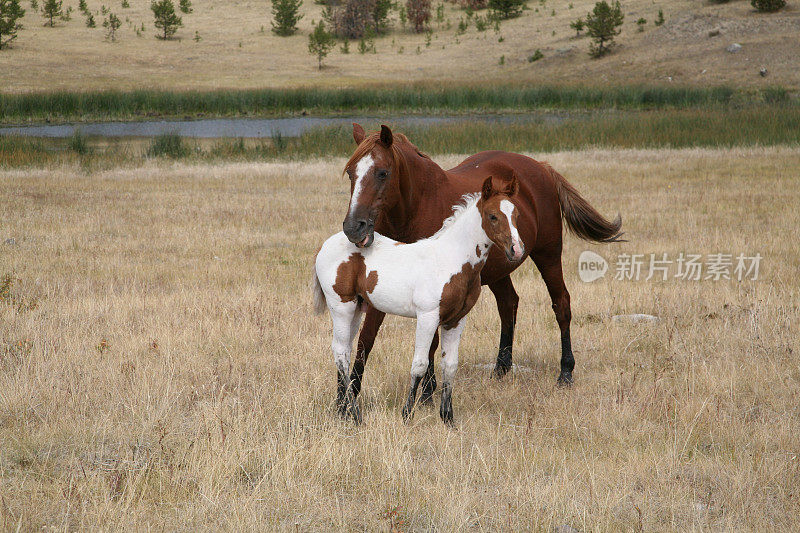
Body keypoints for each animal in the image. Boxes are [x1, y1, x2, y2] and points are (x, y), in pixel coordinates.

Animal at [312, 177, 524, 426]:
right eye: (492, 216)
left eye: (516, 214)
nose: (516, 250)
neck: (451, 259)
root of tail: (326, 245)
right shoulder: (427, 316)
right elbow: (420, 364)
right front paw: (407, 415)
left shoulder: (456, 320)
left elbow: (450, 366)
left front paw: (447, 418)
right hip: (341, 306)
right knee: (341, 353)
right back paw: (355, 415)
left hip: (356, 308)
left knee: (344, 348)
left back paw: (343, 411)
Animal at [340, 121, 620, 404]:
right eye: (351, 173)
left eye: (383, 173)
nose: (354, 228)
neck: (418, 207)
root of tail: (541, 167)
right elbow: (365, 341)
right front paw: (348, 399)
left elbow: (430, 344)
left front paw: (427, 393)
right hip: (499, 268)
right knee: (509, 303)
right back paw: (501, 368)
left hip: (548, 254)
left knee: (561, 303)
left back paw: (565, 371)